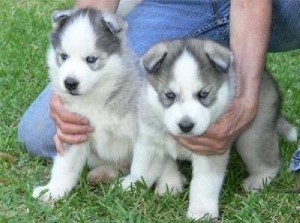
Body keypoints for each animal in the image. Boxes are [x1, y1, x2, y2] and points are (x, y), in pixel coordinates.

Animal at [32, 8, 141, 201]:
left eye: (91, 59)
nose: (70, 83)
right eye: (64, 56)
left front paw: (134, 185)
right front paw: (53, 191)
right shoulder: (74, 131)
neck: (95, 99)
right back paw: (102, 174)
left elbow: (147, 165)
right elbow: (65, 166)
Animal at [122, 38, 298, 220]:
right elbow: (142, 166)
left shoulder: (209, 151)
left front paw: (201, 212)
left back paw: (258, 180)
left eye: (203, 94)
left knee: (269, 161)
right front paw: (137, 183)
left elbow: (204, 184)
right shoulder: (150, 142)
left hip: (252, 137)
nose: (186, 126)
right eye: (170, 95)